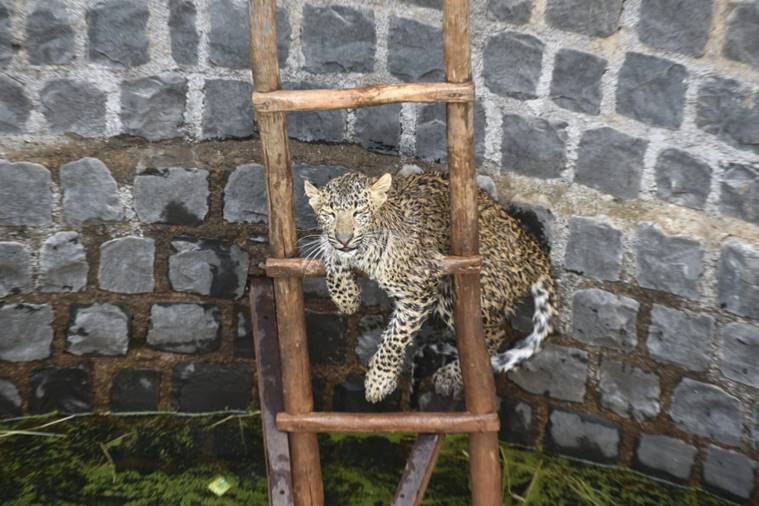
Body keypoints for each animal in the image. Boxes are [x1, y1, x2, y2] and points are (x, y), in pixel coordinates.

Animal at [303, 171, 555, 403]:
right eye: (329, 214)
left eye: (359, 212)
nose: (344, 238)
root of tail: (536, 253)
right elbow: (328, 248)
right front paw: (346, 298)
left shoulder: (419, 289)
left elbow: (396, 338)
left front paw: (379, 381)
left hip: (459, 291)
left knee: (493, 335)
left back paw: (451, 375)